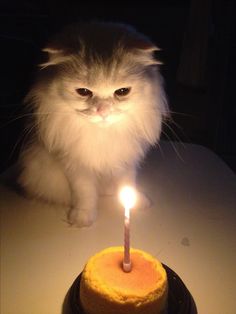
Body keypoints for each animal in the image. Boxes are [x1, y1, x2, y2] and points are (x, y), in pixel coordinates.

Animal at [16, 22, 169, 227]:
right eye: (83, 92)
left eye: (122, 91)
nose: (102, 110)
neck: (102, 136)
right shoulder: (75, 164)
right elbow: (85, 192)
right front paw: (83, 218)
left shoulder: (126, 160)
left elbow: (127, 183)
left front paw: (135, 202)